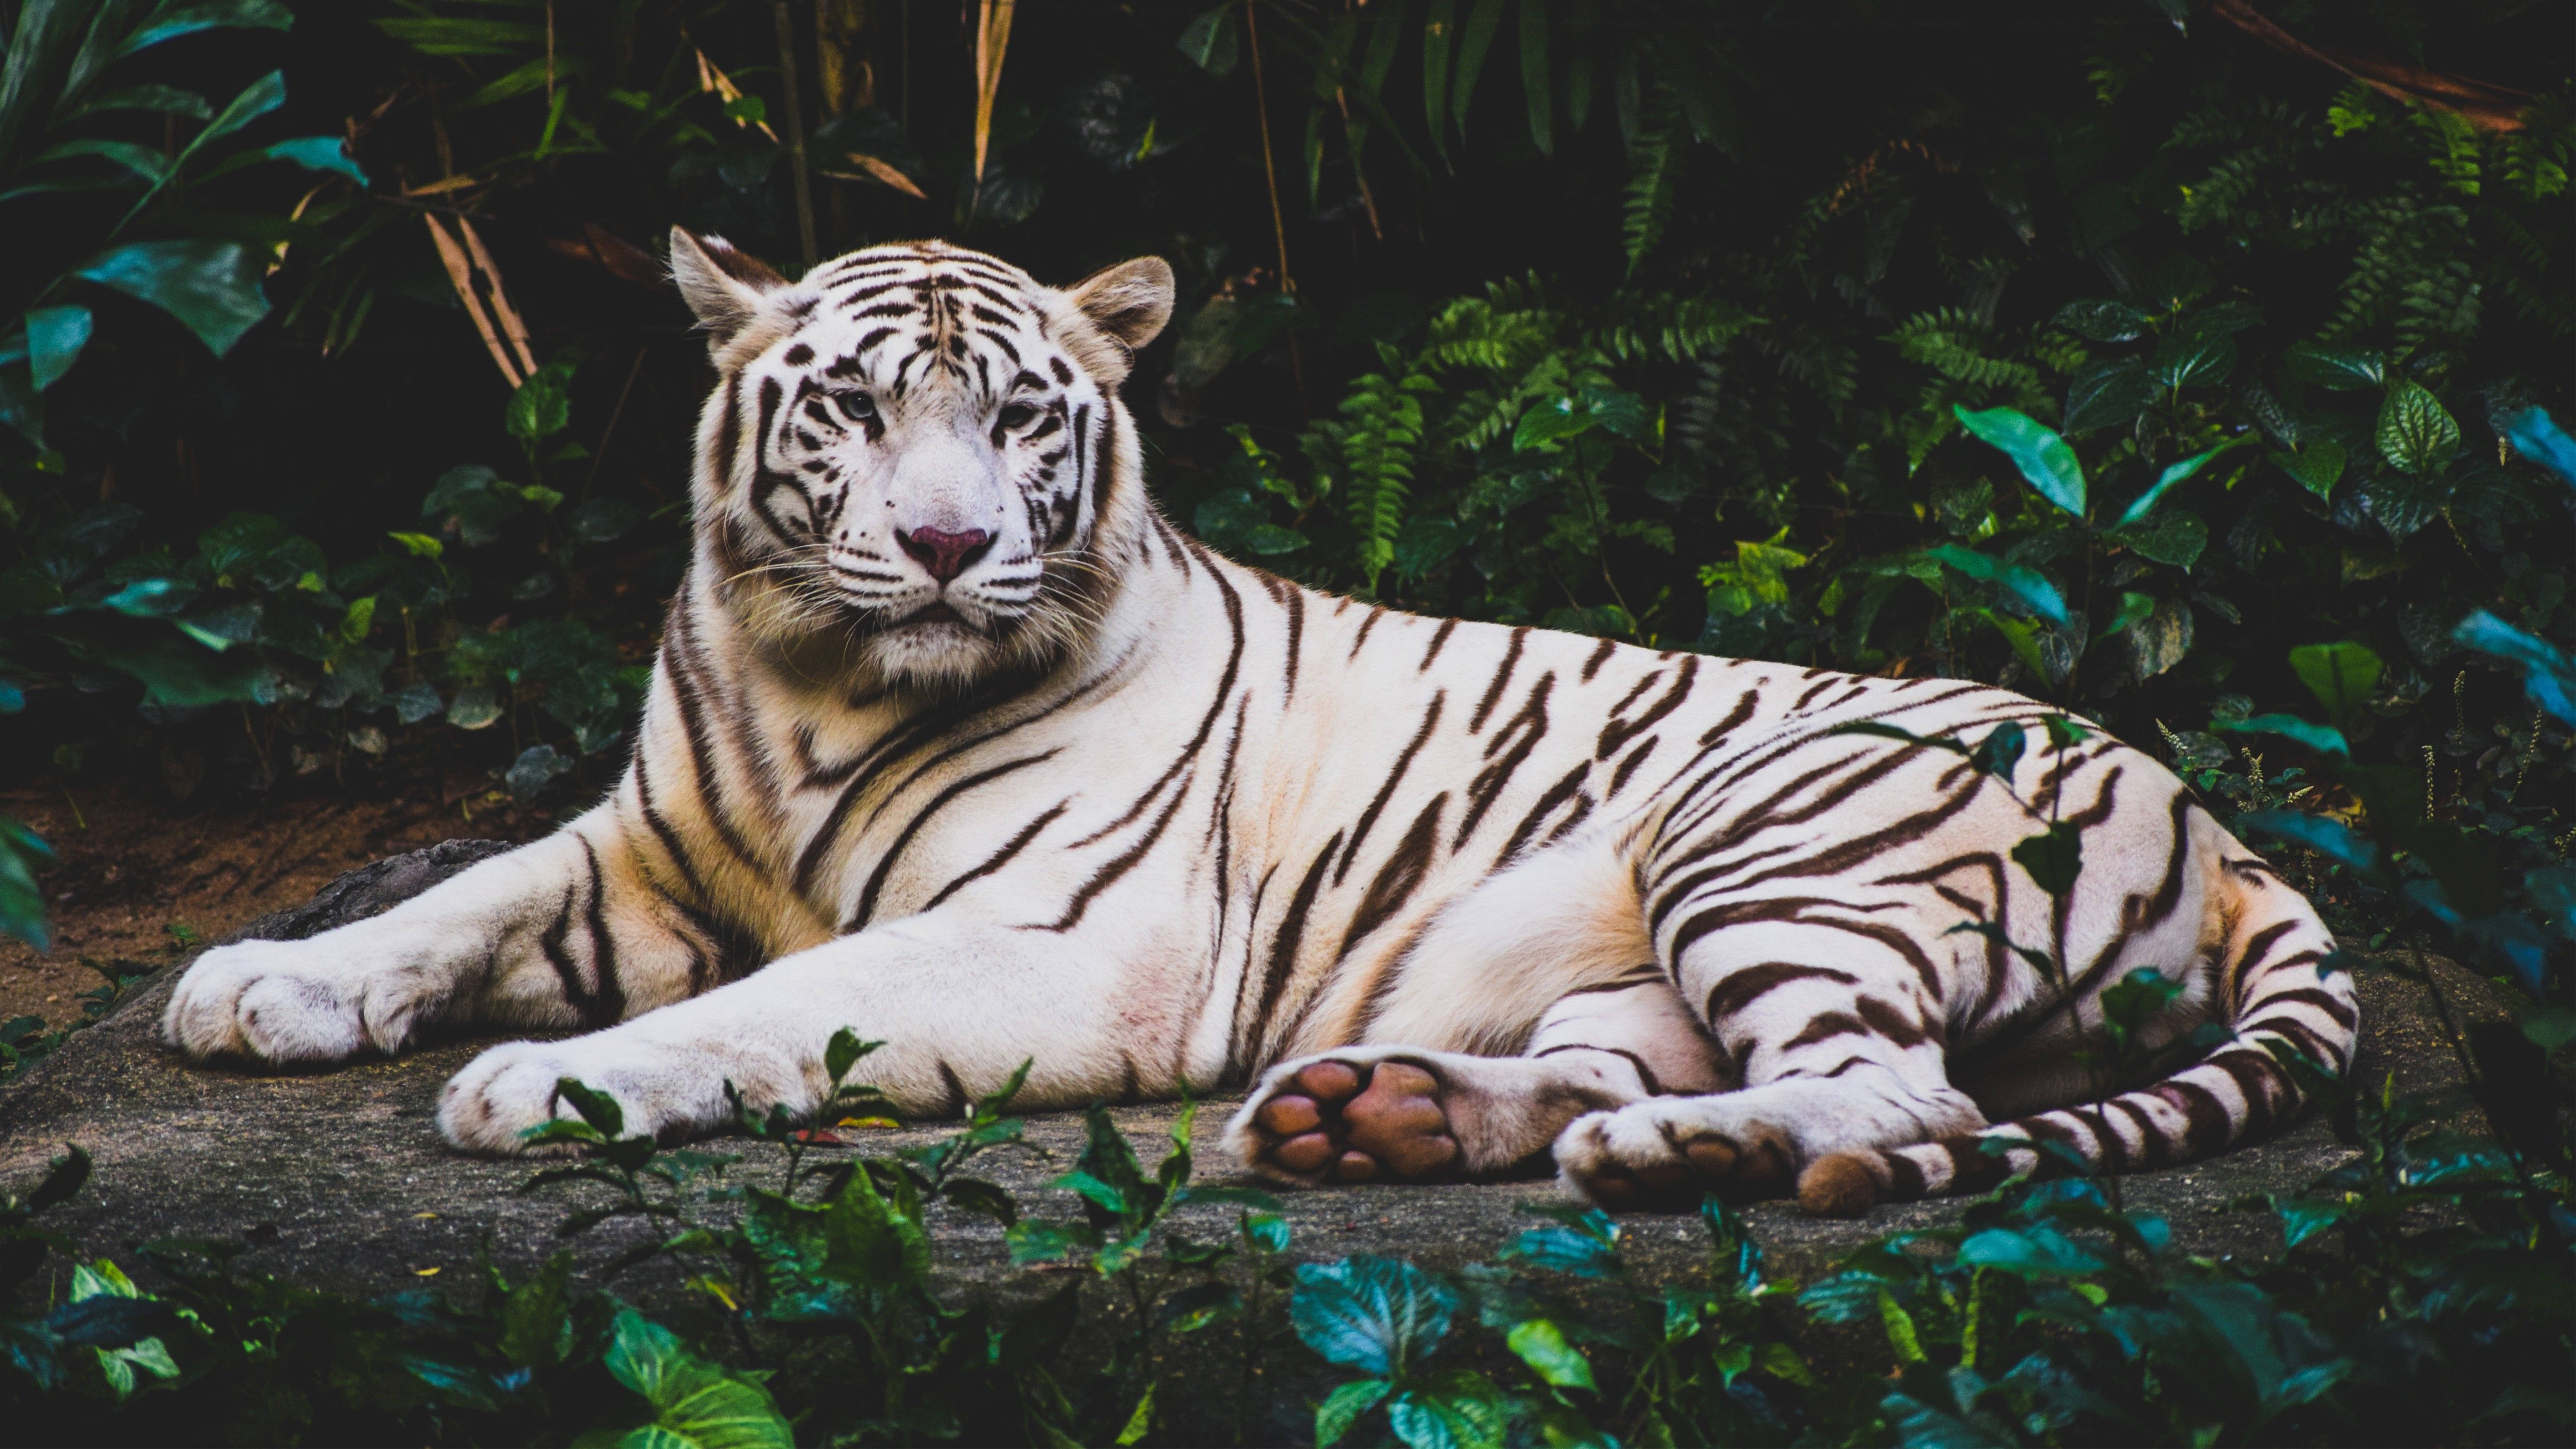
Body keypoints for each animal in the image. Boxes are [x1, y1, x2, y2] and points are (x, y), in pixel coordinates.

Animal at [161, 230, 2358, 1217]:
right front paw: (259, 982)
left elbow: (767, 1008)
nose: (947, 545)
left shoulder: (1060, 945)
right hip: (1632, 951)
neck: (815, 683)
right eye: (856, 408)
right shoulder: (642, 844)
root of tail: (2225, 826)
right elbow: (453, 896)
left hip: (1767, 831)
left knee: (1907, 1097)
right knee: (1624, 1065)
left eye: (1019, 417)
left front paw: (543, 1084)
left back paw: (1682, 1151)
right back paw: (1376, 1112)